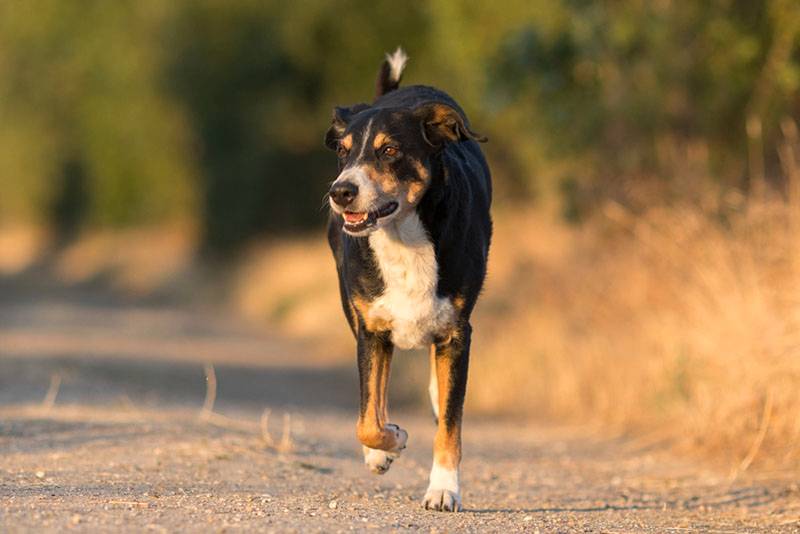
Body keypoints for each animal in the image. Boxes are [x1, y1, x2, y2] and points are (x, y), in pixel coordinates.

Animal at [324, 50, 488, 516]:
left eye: (390, 150)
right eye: (343, 152)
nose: (340, 192)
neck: (403, 237)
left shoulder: (457, 331)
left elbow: (450, 425)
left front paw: (443, 489)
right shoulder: (371, 329)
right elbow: (367, 418)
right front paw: (389, 443)